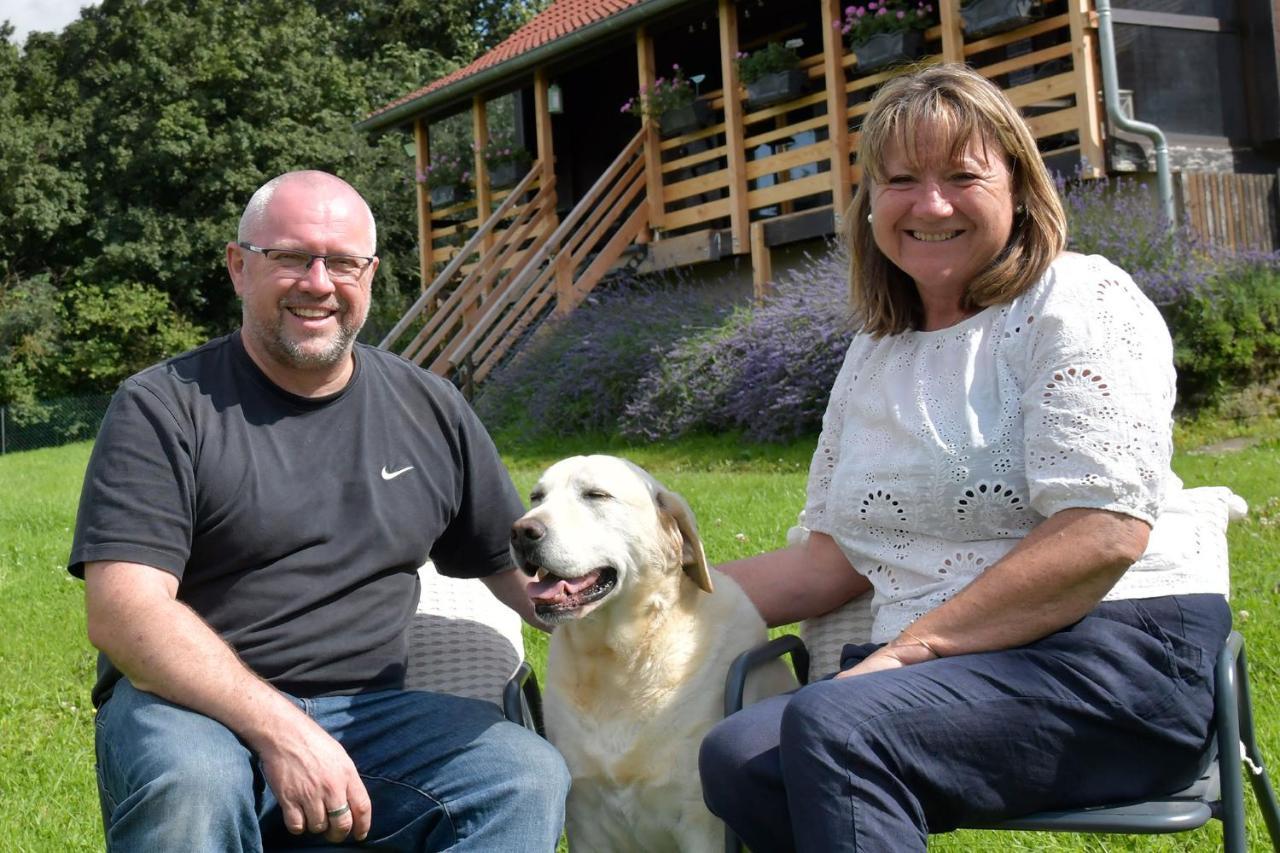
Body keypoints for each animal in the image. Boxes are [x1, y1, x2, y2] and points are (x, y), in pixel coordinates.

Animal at [506, 455, 788, 850]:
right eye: (537, 497)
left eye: (596, 495)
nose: (520, 532)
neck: (619, 659)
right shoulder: (584, 819)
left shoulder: (701, 823)